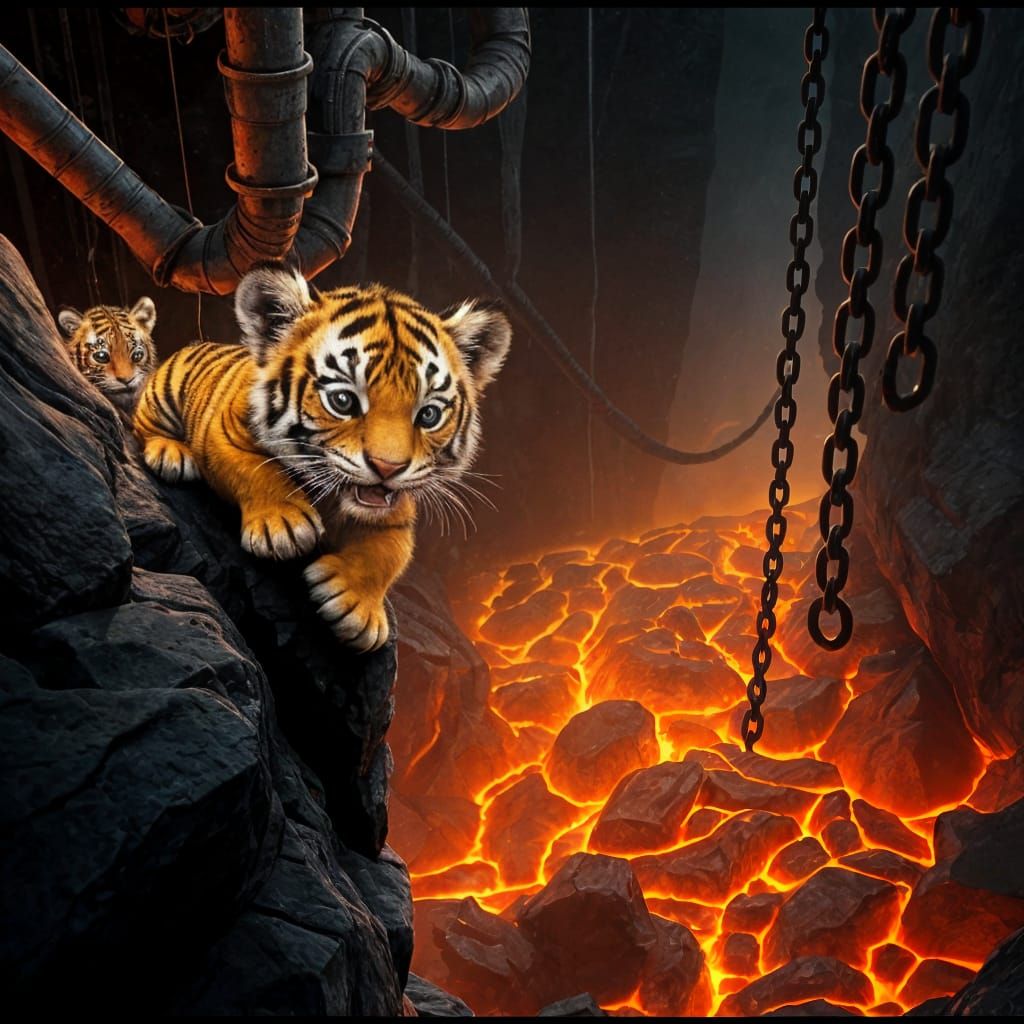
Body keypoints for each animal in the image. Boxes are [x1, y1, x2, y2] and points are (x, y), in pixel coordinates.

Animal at [133, 263, 511, 652]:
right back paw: (171, 454)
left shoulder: (395, 515)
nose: (388, 468)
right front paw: (284, 525)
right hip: (162, 395)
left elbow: (391, 550)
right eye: (343, 401)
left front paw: (355, 606)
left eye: (429, 415)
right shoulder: (223, 433)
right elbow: (253, 469)